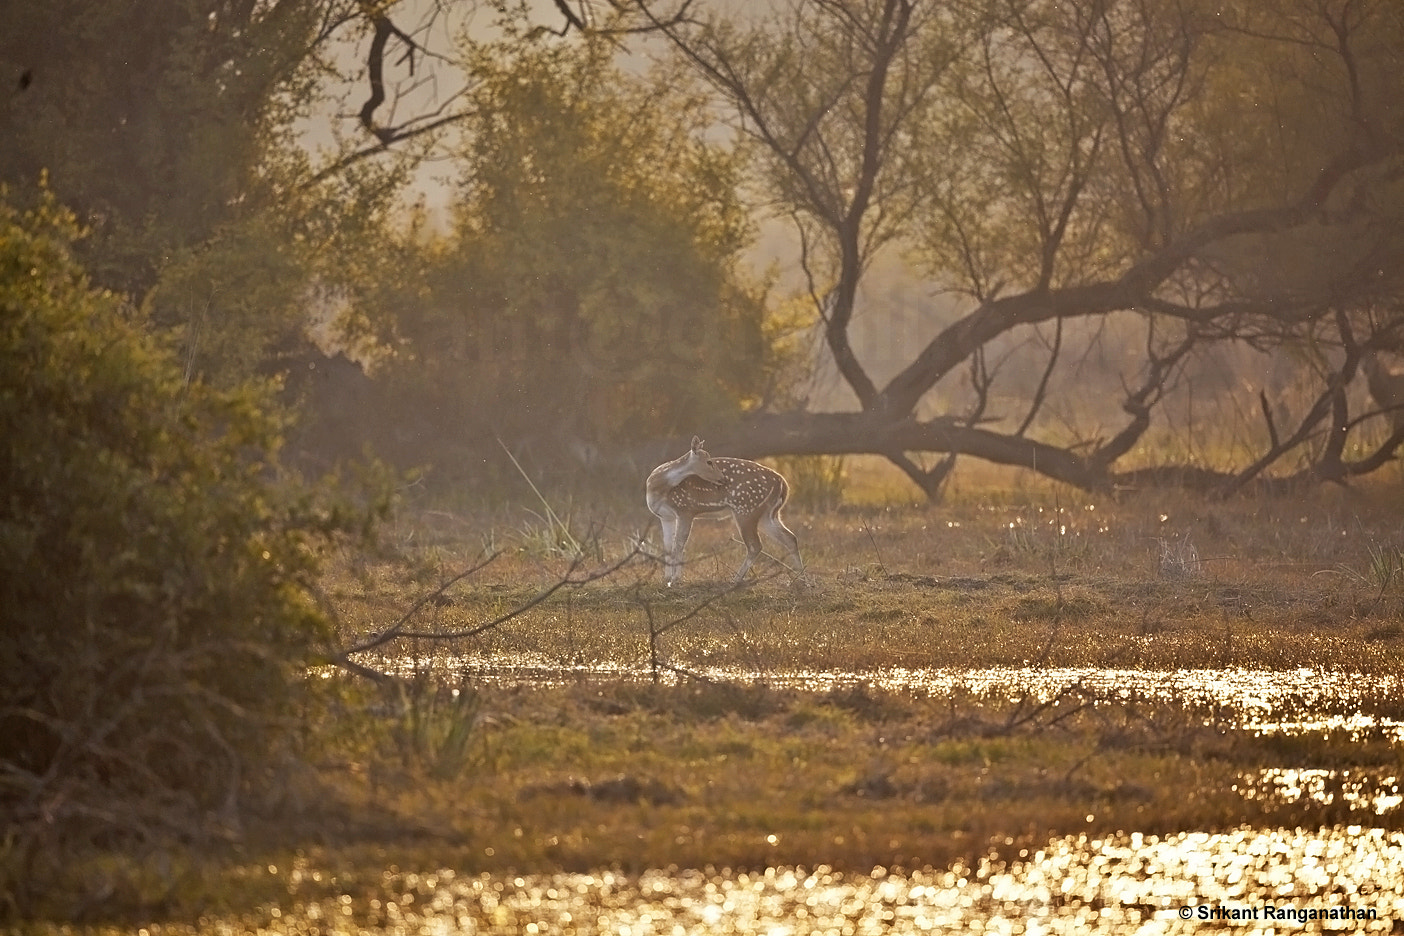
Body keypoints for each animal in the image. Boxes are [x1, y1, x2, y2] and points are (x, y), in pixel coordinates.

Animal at [645, 436, 804, 586]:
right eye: (709, 462)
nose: (722, 478)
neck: (656, 486)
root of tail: (783, 484)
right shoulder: (666, 516)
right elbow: (667, 546)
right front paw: (666, 579)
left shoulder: (686, 509)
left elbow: (678, 544)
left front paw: (675, 579)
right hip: (767, 514)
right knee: (790, 538)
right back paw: (803, 580)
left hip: (746, 509)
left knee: (755, 545)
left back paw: (736, 579)